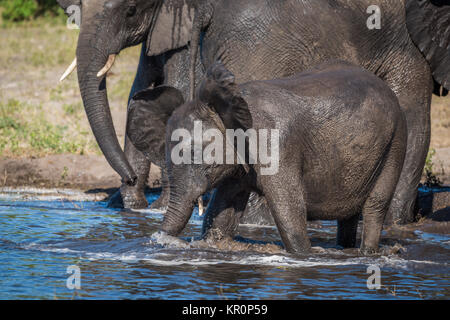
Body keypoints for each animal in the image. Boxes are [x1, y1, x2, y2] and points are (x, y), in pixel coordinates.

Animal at [127, 61, 408, 254]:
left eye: (195, 153)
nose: (163, 241)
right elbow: (220, 216)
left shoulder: (276, 146)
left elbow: (289, 211)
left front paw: (306, 255)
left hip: (396, 140)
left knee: (376, 204)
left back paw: (367, 253)